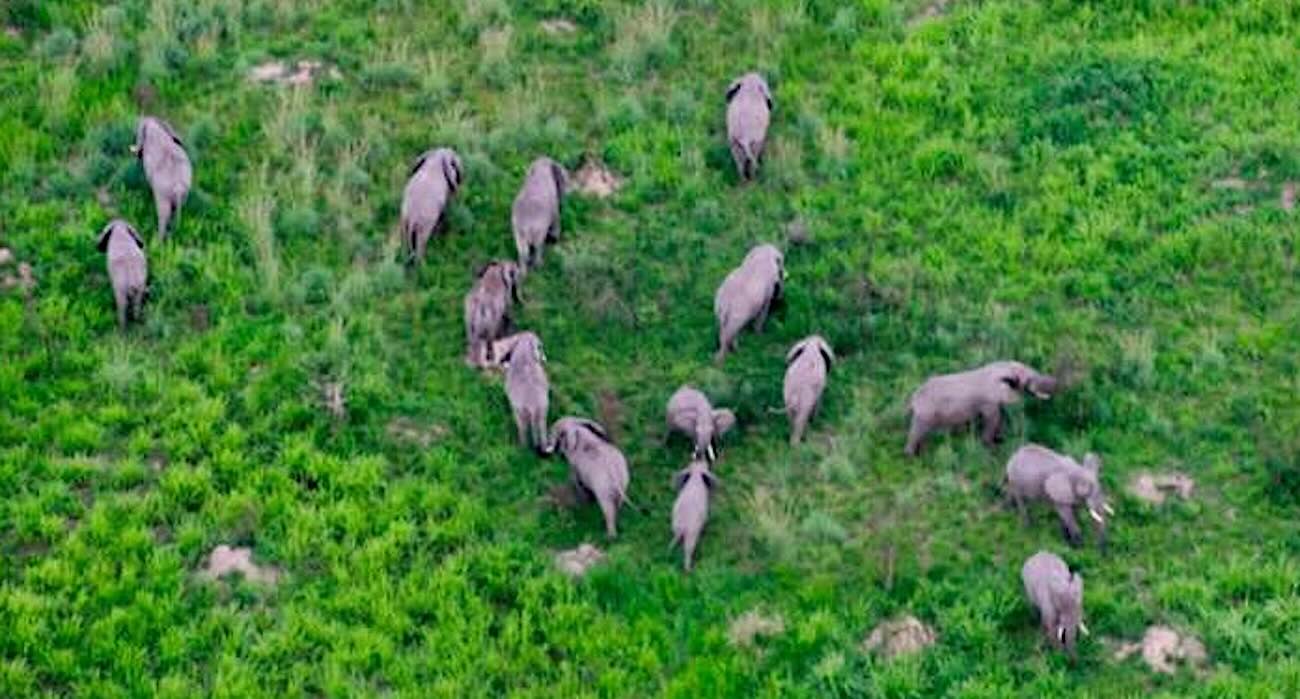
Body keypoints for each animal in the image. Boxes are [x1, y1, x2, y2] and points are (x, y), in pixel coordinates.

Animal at [904, 361, 1058, 456]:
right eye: (1028, 380)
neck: (1002, 367)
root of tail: (913, 399)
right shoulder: (988, 401)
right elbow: (992, 419)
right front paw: (992, 448)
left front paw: (999, 440)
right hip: (925, 414)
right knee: (917, 433)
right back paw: (912, 457)